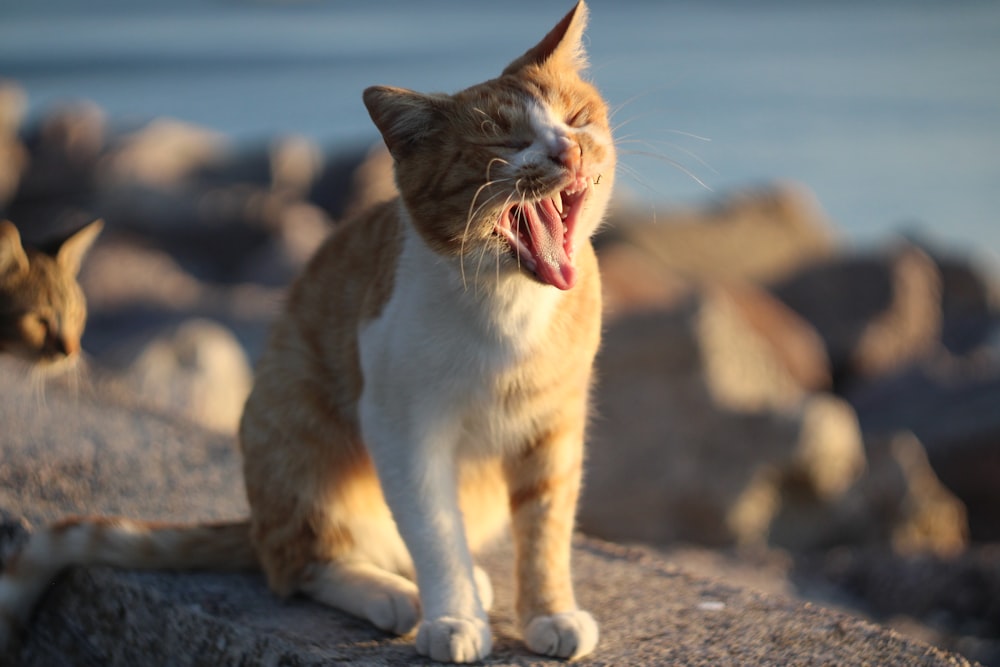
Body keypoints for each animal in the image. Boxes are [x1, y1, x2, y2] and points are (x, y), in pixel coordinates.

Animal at [0, 2, 612, 664]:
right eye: (506, 140)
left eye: (576, 120)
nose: (567, 152)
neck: (508, 308)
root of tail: (257, 525)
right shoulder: (399, 425)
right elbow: (433, 528)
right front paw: (453, 618)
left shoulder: (554, 425)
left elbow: (545, 526)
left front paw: (549, 613)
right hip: (298, 429)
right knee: (301, 564)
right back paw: (394, 593)